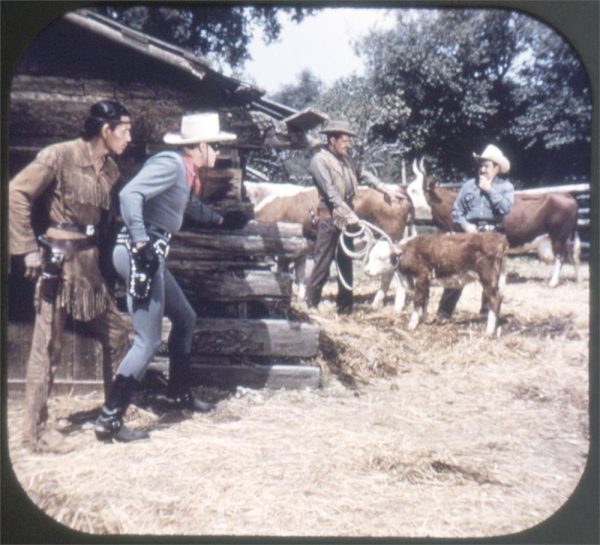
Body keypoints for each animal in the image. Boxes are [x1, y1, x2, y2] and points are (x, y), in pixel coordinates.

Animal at [364, 231, 508, 336]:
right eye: (370, 256)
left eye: (380, 257)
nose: (366, 271)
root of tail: (499, 237)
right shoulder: (425, 282)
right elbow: (425, 301)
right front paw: (424, 319)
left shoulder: (421, 276)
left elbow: (417, 301)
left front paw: (412, 324)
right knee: (499, 299)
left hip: (488, 278)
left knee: (494, 300)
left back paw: (489, 331)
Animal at [408, 159, 580, 286]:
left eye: (414, 190)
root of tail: (565, 194)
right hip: (564, 237)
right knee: (572, 254)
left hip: (559, 235)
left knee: (561, 257)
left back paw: (553, 282)